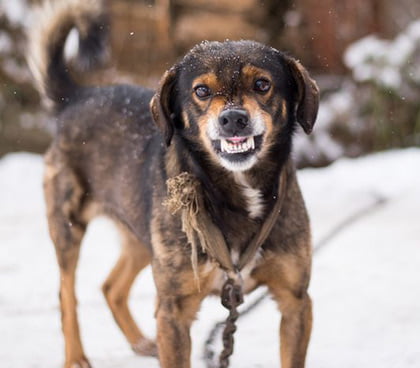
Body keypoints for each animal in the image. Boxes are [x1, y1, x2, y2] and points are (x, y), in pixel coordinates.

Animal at [29, 0, 318, 368]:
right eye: (201, 90)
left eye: (262, 84)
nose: (233, 119)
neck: (234, 189)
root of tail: (78, 97)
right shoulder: (174, 311)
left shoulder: (296, 300)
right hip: (68, 226)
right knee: (66, 293)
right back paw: (76, 357)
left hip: (144, 237)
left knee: (111, 287)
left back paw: (140, 343)